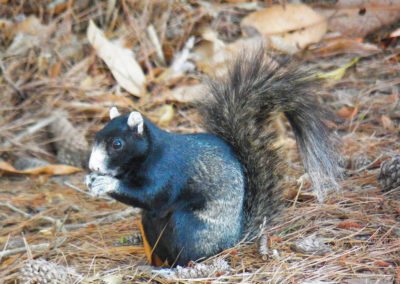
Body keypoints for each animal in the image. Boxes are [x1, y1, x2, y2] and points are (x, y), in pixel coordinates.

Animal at [86, 50, 340, 266]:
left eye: (117, 144)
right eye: (96, 136)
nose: (93, 166)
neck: (148, 155)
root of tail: (233, 239)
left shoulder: (168, 171)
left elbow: (152, 195)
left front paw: (106, 183)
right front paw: (91, 181)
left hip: (188, 227)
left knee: (188, 253)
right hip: (149, 223)